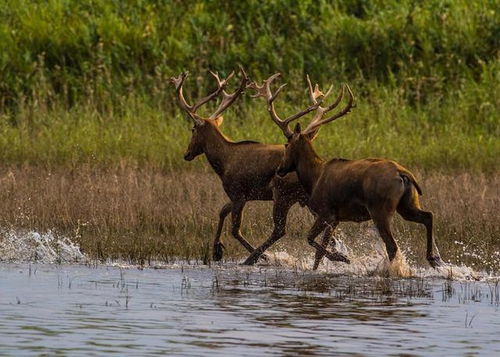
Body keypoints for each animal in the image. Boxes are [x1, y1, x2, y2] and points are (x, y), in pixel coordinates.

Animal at [170, 66, 350, 268]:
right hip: (308, 200)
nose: (186, 154)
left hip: (283, 194)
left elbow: (235, 229)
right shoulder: (245, 195)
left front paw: (260, 256)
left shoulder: (237, 192)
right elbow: (222, 211)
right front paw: (217, 250)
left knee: (280, 230)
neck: (223, 163)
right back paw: (336, 255)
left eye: (193, 129)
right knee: (330, 226)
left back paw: (254, 258)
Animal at [268, 76, 444, 270]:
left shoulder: (326, 211)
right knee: (428, 216)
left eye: (286, 145)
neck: (313, 178)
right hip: (407, 204)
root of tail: (403, 173)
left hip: (380, 210)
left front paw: (342, 257)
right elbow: (318, 253)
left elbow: (312, 241)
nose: (279, 169)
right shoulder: (335, 218)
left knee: (392, 245)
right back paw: (433, 258)